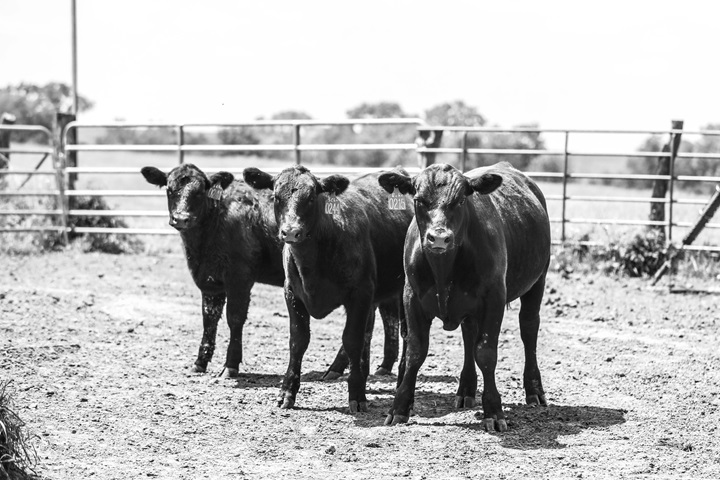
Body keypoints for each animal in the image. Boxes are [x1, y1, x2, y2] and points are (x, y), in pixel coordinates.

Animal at [141, 164, 401, 379]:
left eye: (198, 192)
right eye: (170, 190)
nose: (181, 218)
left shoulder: (240, 277)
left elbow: (234, 318)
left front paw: (230, 366)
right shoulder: (210, 281)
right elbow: (209, 320)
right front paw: (200, 362)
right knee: (386, 317)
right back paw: (382, 366)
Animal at [243, 165, 414, 413]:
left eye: (312, 197)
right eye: (276, 197)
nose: (291, 231)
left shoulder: (359, 293)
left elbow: (352, 339)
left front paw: (357, 394)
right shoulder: (292, 293)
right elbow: (298, 341)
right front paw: (287, 392)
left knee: (404, 333)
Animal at [378, 162, 551, 431]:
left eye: (460, 200)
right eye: (418, 199)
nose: (439, 237)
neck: (443, 268)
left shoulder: (494, 298)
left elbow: (486, 352)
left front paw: (494, 411)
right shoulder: (411, 298)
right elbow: (416, 351)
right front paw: (399, 407)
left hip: (538, 280)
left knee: (529, 328)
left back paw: (534, 389)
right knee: (469, 335)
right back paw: (466, 390)